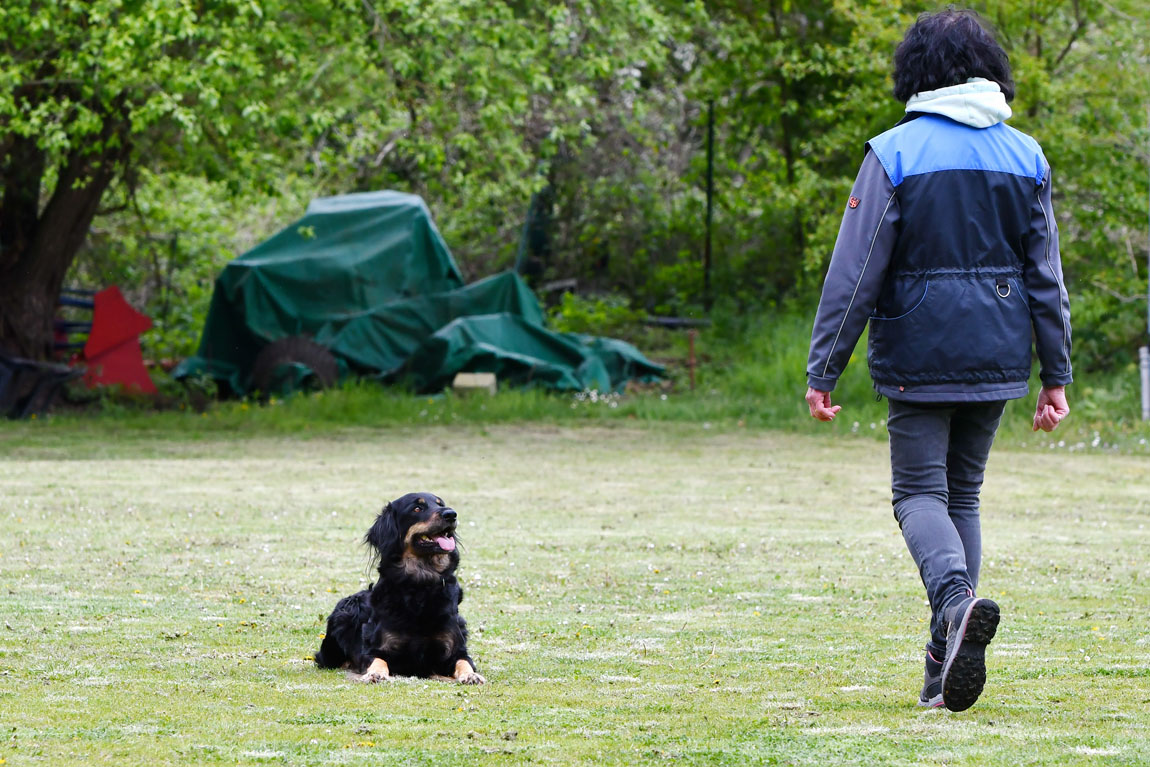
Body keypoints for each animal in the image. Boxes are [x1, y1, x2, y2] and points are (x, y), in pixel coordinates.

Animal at [312, 492, 483, 685]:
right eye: (417, 508)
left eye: (441, 504)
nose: (451, 514)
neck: (420, 587)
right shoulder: (374, 650)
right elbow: (378, 661)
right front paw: (375, 673)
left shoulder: (455, 650)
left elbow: (464, 662)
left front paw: (471, 675)